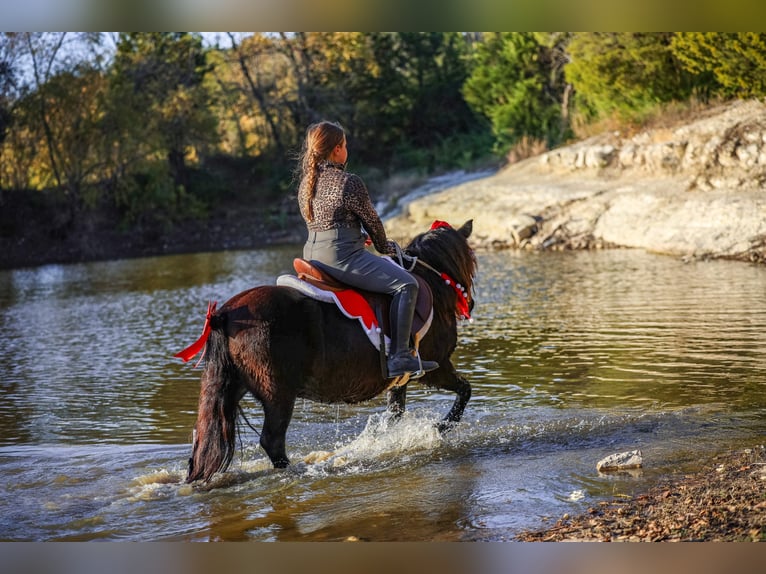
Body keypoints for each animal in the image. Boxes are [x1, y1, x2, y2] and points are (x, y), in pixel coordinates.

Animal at [177, 219, 476, 483]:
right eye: (471, 262)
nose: (470, 304)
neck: (433, 286)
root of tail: (226, 314)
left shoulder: (399, 379)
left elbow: (394, 416)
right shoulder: (436, 367)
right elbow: (465, 390)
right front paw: (441, 427)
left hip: (232, 388)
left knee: (208, 439)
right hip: (278, 394)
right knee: (272, 440)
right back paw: (295, 470)